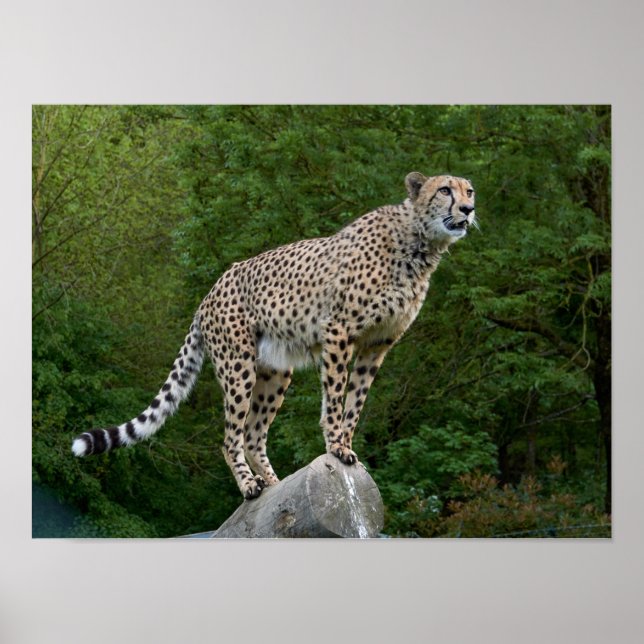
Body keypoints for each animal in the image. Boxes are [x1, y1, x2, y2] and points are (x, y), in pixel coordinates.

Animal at [72, 172, 477, 500]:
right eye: (445, 189)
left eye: (469, 190)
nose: (469, 209)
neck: (419, 243)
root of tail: (209, 293)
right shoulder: (339, 330)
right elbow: (335, 396)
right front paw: (335, 445)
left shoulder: (377, 344)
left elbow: (356, 401)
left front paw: (346, 444)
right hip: (238, 365)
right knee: (231, 437)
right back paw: (250, 486)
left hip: (276, 370)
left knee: (253, 434)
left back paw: (275, 485)